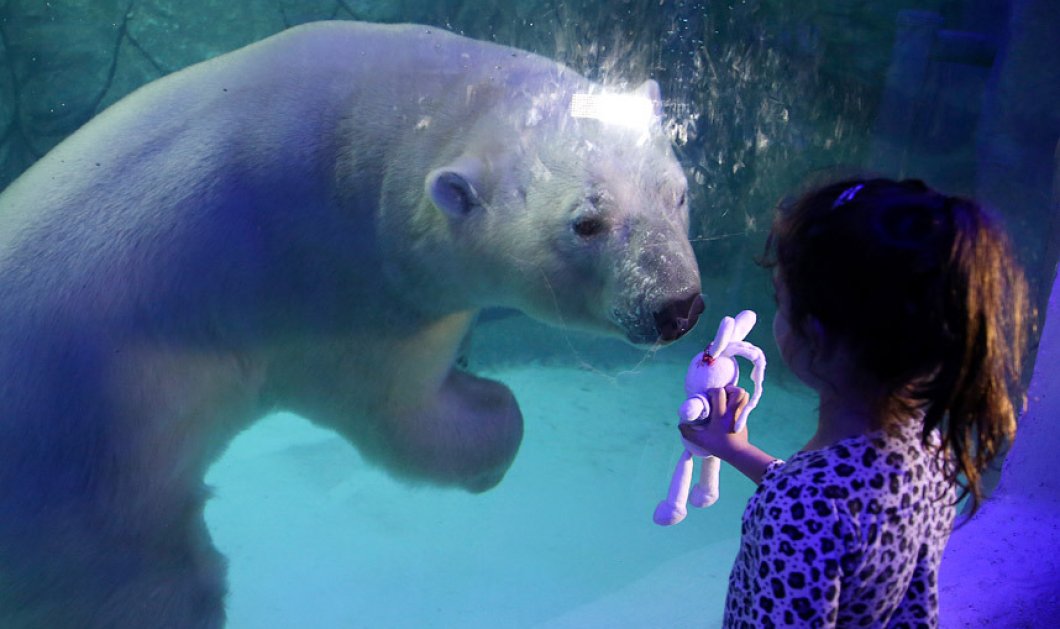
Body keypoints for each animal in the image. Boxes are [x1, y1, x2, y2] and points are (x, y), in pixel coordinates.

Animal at [0, 20, 703, 627]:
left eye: (677, 191)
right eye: (586, 223)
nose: (678, 306)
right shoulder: (343, 289)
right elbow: (398, 415)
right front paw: (488, 417)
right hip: (86, 484)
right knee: (156, 583)